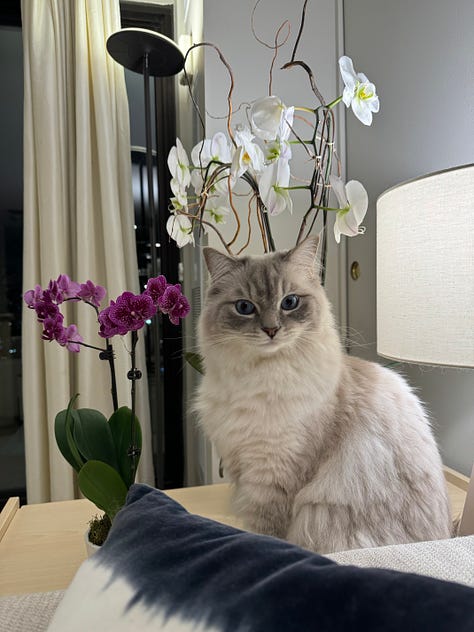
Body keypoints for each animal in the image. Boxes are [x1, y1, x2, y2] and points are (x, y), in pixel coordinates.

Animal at [194, 236, 454, 552]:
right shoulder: (241, 466)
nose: (271, 330)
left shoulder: (272, 478)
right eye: (245, 307)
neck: (259, 376)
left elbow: (265, 535)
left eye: (290, 303)